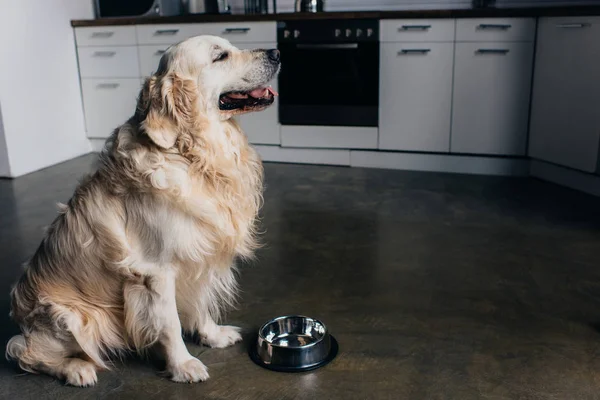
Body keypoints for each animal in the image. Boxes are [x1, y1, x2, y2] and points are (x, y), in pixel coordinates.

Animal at [4, 36, 282, 386]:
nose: (277, 52)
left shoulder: (199, 255)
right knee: (25, 354)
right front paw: (183, 365)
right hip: (71, 317)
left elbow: (202, 302)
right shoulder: (156, 272)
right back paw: (76, 369)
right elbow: (171, 325)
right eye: (220, 56)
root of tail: (21, 322)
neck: (191, 153)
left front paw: (212, 335)